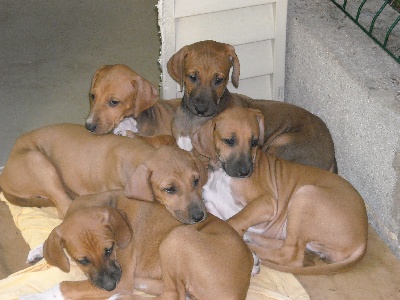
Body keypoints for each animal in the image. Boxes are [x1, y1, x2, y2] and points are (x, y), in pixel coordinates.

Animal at [0, 123, 206, 221]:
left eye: (196, 181)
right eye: (169, 189)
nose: (200, 217)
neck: (137, 154)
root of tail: (5, 173)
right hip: (39, 162)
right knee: (65, 207)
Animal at [22, 191, 253, 298]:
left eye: (109, 249)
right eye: (83, 260)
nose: (110, 286)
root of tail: (240, 292)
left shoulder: (122, 278)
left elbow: (63, 286)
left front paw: (32, 296)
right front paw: (39, 251)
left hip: (176, 238)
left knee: (174, 295)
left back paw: (119, 298)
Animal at [166, 38, 338, 172]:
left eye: (219, 80)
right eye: (192, 77)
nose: (201, 109)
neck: (192, 120)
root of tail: (333, 156)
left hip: (282, 143)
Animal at [191, 107, 368, 274]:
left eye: (254, 142)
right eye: (229, 141)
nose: (246, 172)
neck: (221, 173)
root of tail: (364, 240)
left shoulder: (266, 202)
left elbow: (234, 221)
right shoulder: (210, 204)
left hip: (305, 196)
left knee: (291, 255)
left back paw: (253, 249)